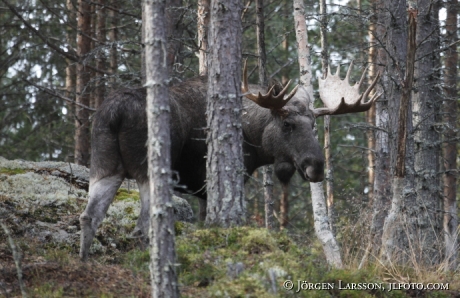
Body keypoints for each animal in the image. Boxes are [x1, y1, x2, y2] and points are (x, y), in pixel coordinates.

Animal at [80, 61, 380, 260]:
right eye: (288, 124)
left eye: (314, 126)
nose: (315, 166)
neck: (253, 137)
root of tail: (116, 113)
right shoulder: (210, 182)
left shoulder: (201, 189)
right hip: (146, 169)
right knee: (141, 226)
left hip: (104, 165)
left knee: (89, 215)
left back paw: (84, 261)